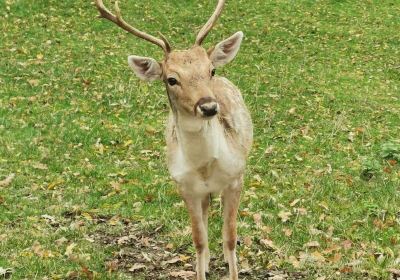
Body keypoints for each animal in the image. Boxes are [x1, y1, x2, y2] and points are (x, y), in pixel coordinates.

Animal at [95, 1, 252, 278]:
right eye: (171, 79)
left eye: (211, 70)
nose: (209, 106)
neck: (205, 167)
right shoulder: (185, 188)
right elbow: (199, 241)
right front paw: (201, 268)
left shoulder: (236, 178)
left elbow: (230, 238)